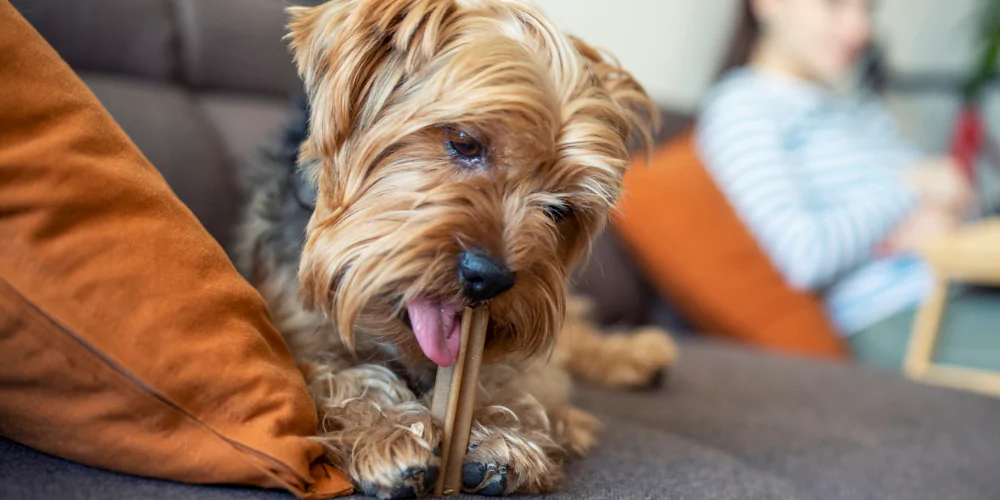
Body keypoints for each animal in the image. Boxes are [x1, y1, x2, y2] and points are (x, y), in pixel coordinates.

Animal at [231, 0, 676, 496]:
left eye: (561, 210)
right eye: (464, 142)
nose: (491, 278)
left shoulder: (519, 357)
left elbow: (518, 383)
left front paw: (503, 439)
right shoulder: (292, 329)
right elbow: (330, 378)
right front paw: (388, 434)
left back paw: (643, 354)